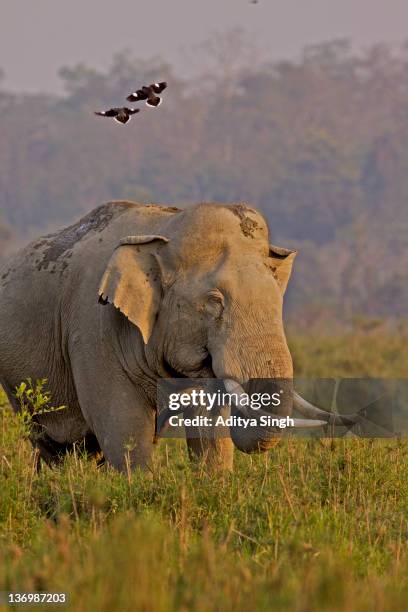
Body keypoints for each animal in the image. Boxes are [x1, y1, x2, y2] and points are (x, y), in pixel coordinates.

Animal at [0, 198, 354, 470]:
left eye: (277, 299)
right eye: (214, 302)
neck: (165, 230)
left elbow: (208, 426)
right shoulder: (92, 328)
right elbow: (124, 428)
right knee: (52, 445)